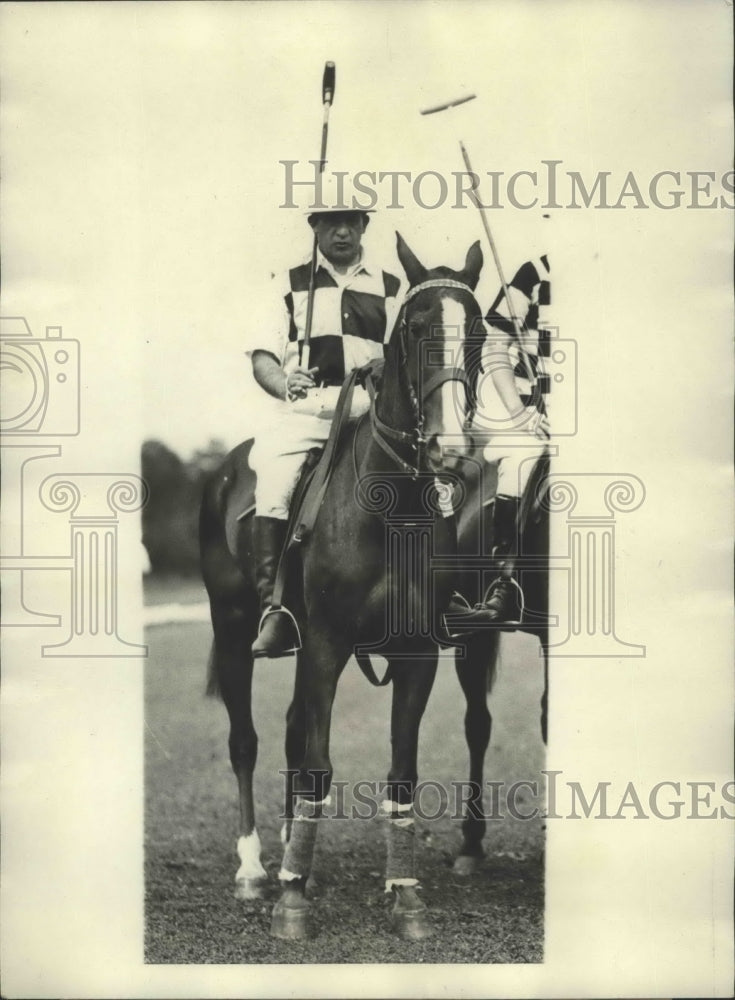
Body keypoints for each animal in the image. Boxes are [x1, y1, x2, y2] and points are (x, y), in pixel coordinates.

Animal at [201, 232, 488, 936]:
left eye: (477, 331)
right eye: (414, 327)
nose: (446, 446)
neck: (391, 508)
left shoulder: (416, 653)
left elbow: (400, 773)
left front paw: (405, 896)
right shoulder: (329, 644)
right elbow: (319, 764)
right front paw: (292, 906)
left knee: (289, 731)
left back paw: (289, 861)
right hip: (233, 626)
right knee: (247, 740)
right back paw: (255, 870)